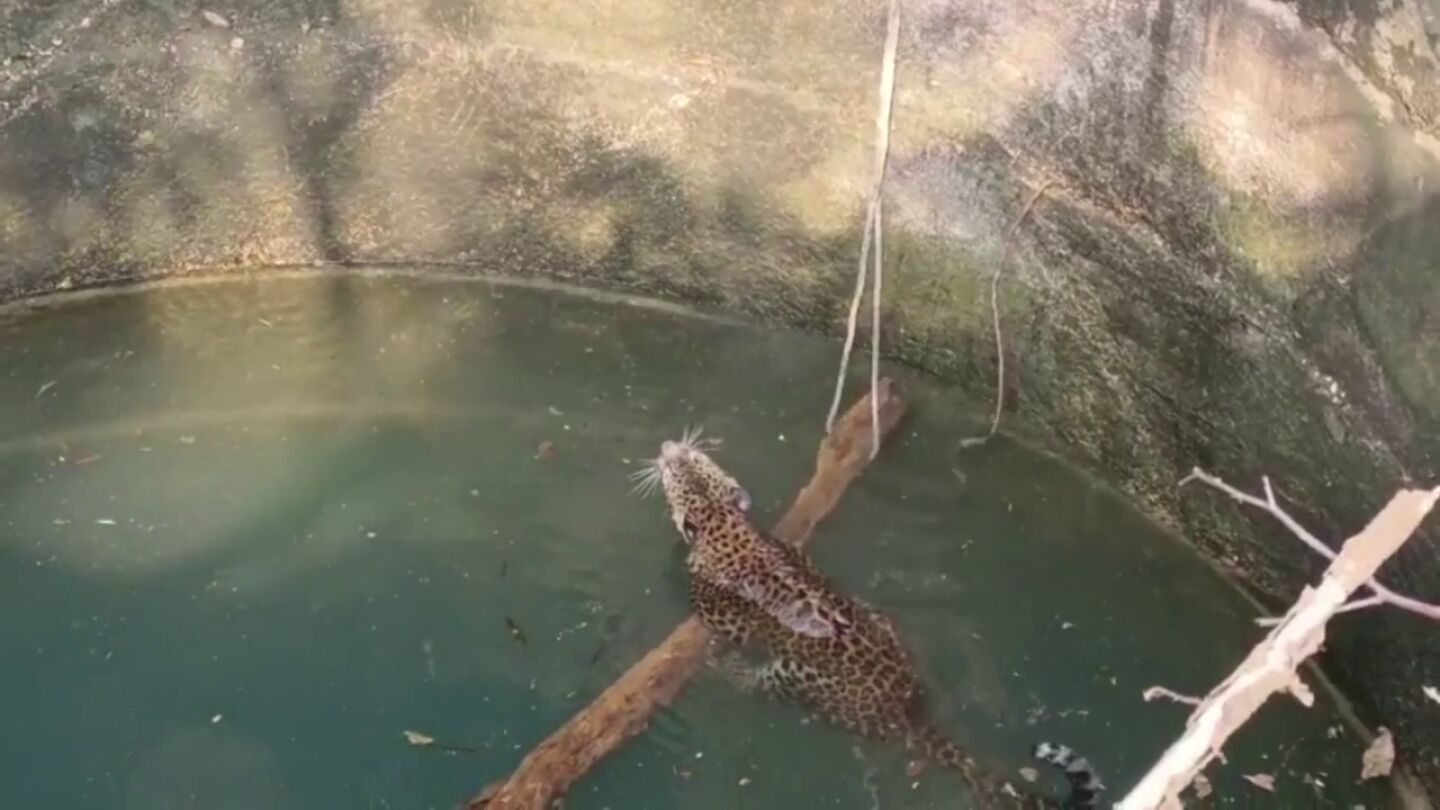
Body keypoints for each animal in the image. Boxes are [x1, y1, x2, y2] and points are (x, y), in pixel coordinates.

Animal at [631, 428, 1104, 808]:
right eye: (691, 462)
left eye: (681, 469)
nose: (669, 446)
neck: (726, 526)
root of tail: (907, 710)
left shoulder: (712, 608)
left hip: (793, 677)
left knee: (759, 685)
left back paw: (725, 666)